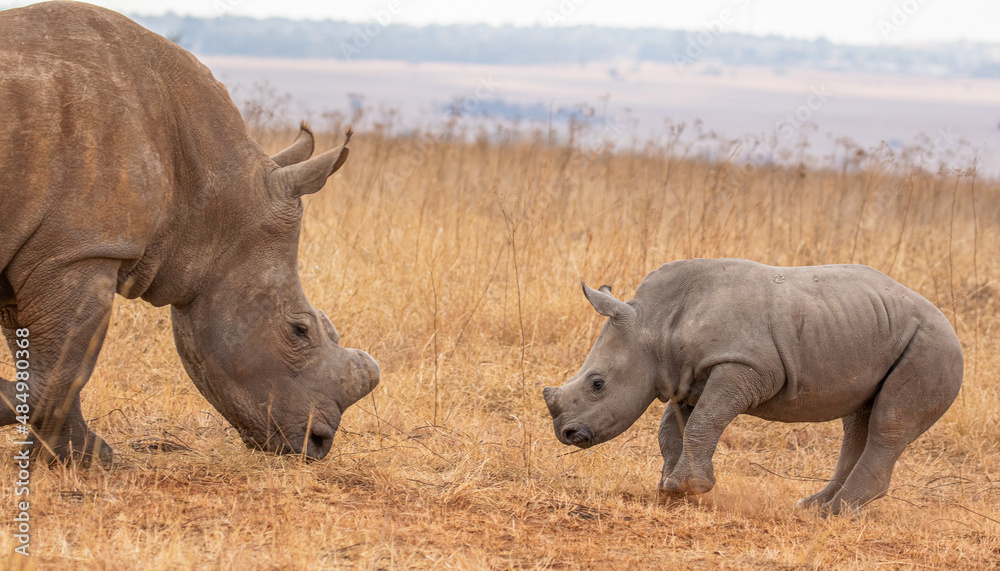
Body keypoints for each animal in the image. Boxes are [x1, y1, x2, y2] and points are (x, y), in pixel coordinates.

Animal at [0, 2, 379, 465]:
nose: (319, 443)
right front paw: (87, 458)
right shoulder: (80, 250)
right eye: (299, 331)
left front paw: (72, 458)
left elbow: (44, 361)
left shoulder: (44, 252)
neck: (211, 194)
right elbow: (64, 366)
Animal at [543, 258, 963, 515]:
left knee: (886, 425)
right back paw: (812, 506)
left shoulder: (742, 365)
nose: (567, 434)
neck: (656, 324)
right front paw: (668, 489)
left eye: (598, 384)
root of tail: (951, 328)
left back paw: (834, 513)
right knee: (857, 422)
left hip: (932, 347)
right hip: (878, 334)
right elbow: (674, 430)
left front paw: (688, 487)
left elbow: (703, 424)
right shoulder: (685, 376)